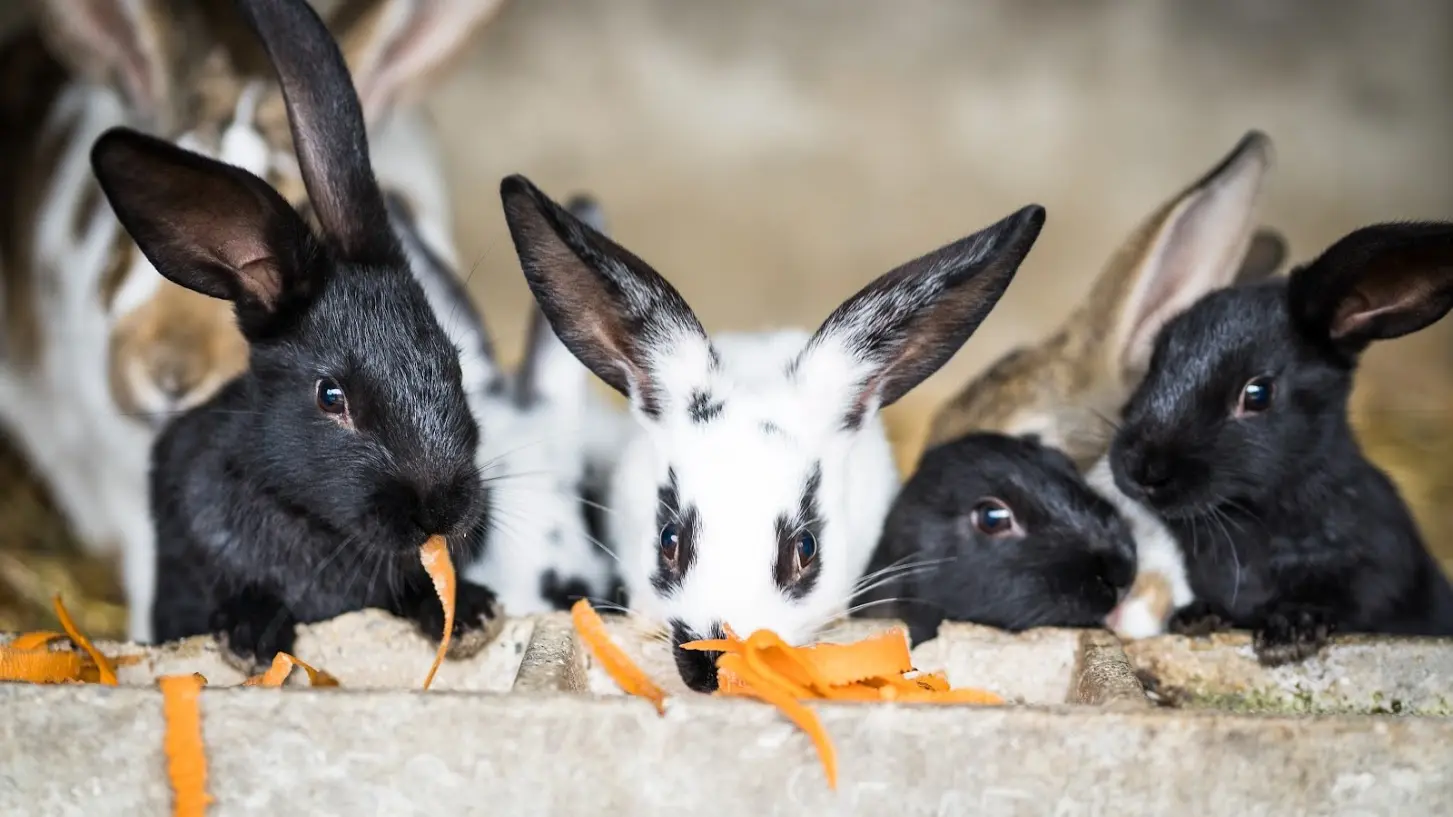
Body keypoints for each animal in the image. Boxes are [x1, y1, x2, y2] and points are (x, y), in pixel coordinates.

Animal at [1098, 220, 1453, 662]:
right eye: (1154, 362)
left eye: (1258, 393)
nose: (1141, 469)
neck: (1253, 520)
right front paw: (1196, 617)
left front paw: (1292, 631)